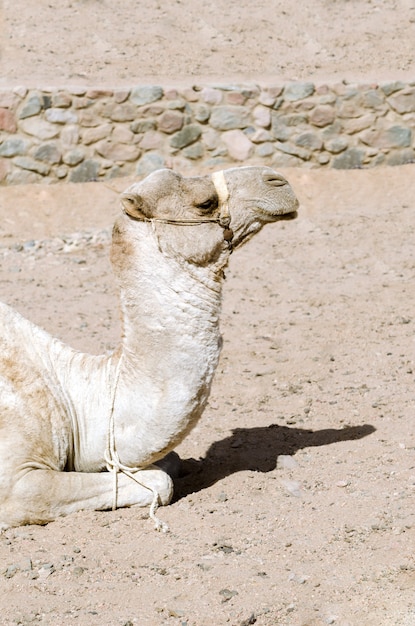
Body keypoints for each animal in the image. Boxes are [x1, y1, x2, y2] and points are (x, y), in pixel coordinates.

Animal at [0, 165, 300, 528]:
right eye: (205, 202)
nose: (278, 180)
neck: (73, 398)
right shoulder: (18, 480)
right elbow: (161, 480)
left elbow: (169, 462)